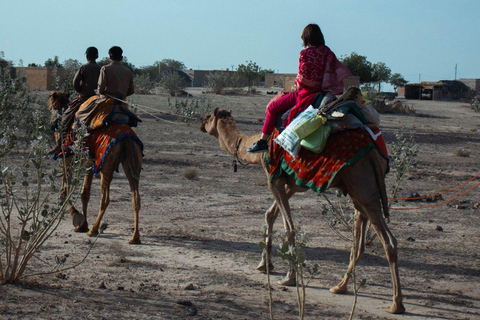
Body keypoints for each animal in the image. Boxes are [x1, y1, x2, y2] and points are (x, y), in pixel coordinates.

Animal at [47, 91, 143, 244]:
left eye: (50, 101)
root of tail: (126, 138)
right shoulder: (88, 165)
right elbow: (84, 193)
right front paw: (82, 224)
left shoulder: (66, 159)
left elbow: (64, 191)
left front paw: (77, 217)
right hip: (132, 162)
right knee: (136, 198)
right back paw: (135, 237)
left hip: (106, 165)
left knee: (105, 199)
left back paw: (94, 230)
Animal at [199, 108, 404, 316]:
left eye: (207, 117)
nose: (200, 123)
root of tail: (376, 153)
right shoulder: (291, 183)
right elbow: (270, 214)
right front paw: (265, 264)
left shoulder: (273, 178)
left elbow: (288, 227)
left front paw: (289, 277)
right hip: (359, 191)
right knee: (360, 243)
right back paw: (340, 286)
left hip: (363, 186)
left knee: (389, 242)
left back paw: (396, 304)